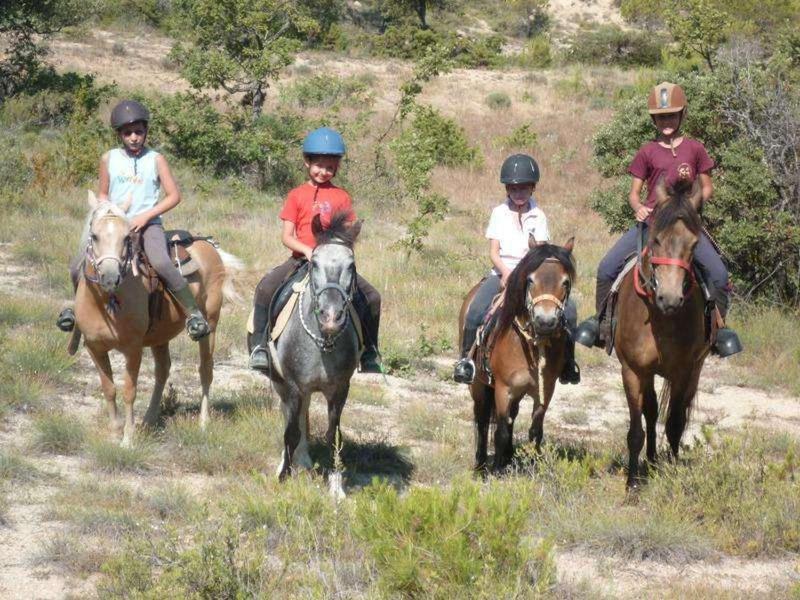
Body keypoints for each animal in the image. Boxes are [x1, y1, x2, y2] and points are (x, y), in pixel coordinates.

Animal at [75, 192, 241, 446]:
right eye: (94, 236)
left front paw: (127, 439)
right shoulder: (94, 347)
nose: (111, 278)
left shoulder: (133, 349)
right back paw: (149, 420)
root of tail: (209, 246)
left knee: (206, 370)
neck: (104, 303)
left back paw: (203, 422)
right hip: (160, 336)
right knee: (162, 371)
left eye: (126, 237)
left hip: (210, 325)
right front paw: (115, 433)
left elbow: (129, 391)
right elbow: (109, 389)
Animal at [247, 213, 362, 494]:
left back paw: (304, 460)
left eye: (351, 265)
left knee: (303, 416)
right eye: (315, 263)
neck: (323, 342)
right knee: (290, 417)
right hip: (281, 384)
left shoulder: (340, 389)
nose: (331, 317)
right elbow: (291, 431)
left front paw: (336, 486)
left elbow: (334, 436)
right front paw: (283, 477)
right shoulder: (293, 385)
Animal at [460, 239, 580, 474]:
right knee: (482, 419)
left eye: (565, 282)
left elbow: (535, 431)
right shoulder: (503, 389)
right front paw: (497, 470)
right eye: (531, 279)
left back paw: (507, 456)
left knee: (511, 417)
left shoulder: (545, 390)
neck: (530, 344)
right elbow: (500, 431)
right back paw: (481, 464)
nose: (545, 321)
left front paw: (533, 466)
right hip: (478, 385)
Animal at [612, 177, 708, 488]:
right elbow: (636, 429)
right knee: (651, 413)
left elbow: (676, 424)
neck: (660, 317)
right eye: (656, 240)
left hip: (695, 369)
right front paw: (632, 483)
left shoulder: (683, 371)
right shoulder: (632, 370)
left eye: (694, 244)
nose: (670, 299)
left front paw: (673, 472)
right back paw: (651, 461)